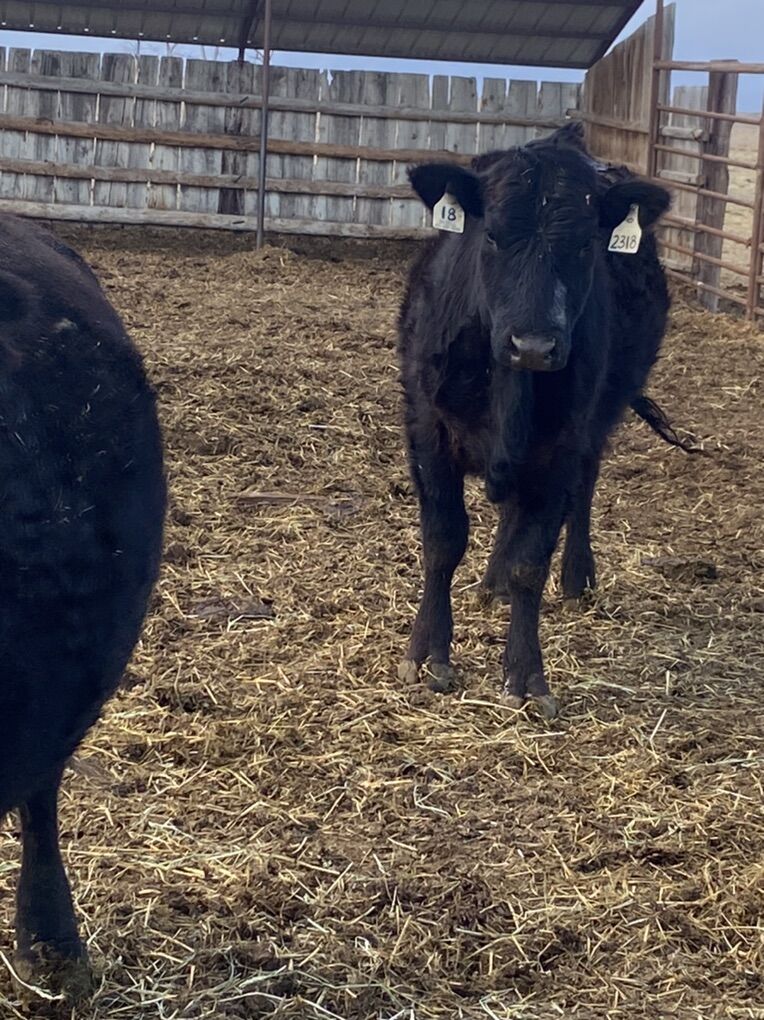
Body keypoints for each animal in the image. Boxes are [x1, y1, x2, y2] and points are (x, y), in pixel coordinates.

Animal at [397, 122, 686, 719]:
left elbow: (531, 561)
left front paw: (527, 673)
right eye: (490, 236)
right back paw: (492, 584)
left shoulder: (560, 448)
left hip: (600, 418)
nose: (533, 345)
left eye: (584, 245)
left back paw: (574, 575)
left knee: (582, 492)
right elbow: (442, 542)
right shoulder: (427, 431)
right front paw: (428, 652)